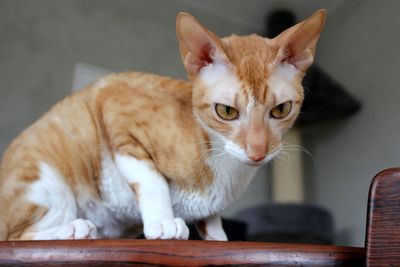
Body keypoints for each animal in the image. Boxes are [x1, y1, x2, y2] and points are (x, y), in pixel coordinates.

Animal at [0, 9, 324, 241]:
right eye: (226, 111)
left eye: (281, 110)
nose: (257, 152)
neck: (228, 171)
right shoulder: (113, 106)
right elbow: (153, 181)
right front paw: (164, 223)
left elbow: (213, 221)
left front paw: (219, 238)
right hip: (48, 183)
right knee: (16, 237)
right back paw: (75, 230)